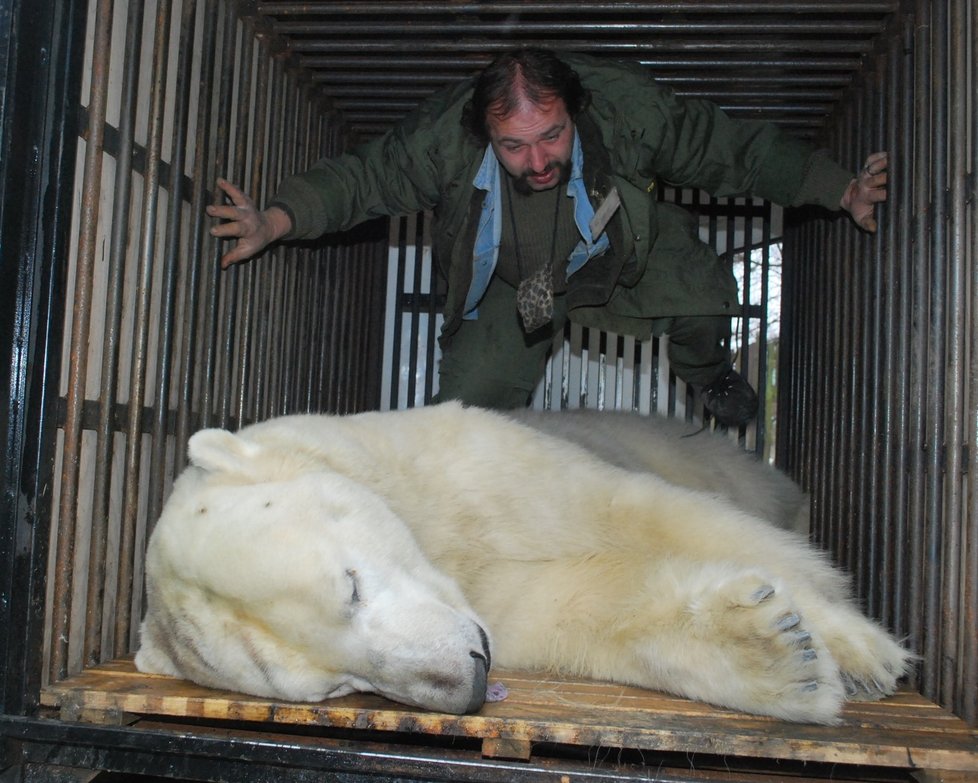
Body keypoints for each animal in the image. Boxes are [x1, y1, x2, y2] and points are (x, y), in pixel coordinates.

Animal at [135, 408, 908, 724]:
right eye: (334, 687)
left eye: (349, 587)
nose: (469, 683)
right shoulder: (494, 598)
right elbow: (575, 607)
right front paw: (777, 653)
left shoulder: (469, 465)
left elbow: (638, 513)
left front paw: (865, 652)